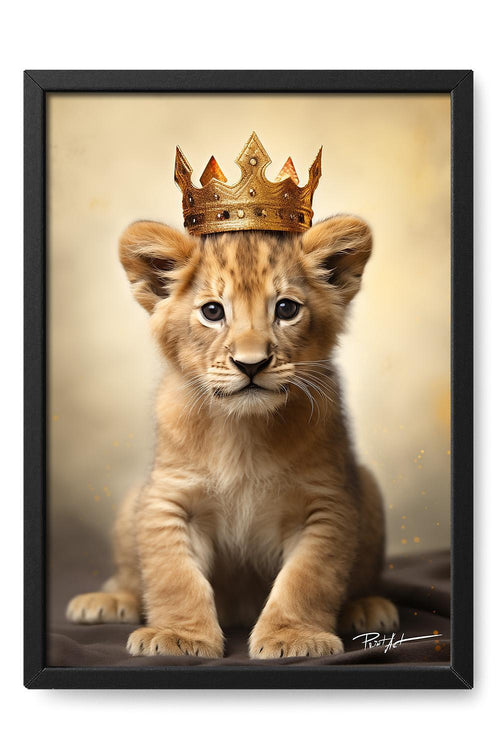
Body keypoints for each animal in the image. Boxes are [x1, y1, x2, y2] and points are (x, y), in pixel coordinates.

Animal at [66, 216, 398, 659]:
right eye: (212, 311)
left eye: (286, 309)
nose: (251, 364)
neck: (243, 430)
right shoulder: (169, 498)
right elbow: (174, 577)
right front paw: (179, 636)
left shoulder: (326, 503)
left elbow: (307, 578)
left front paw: (294, 638)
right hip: (131, 502)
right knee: (130, 576)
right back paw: (108, 600)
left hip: (368, 485)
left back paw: (367, 607)